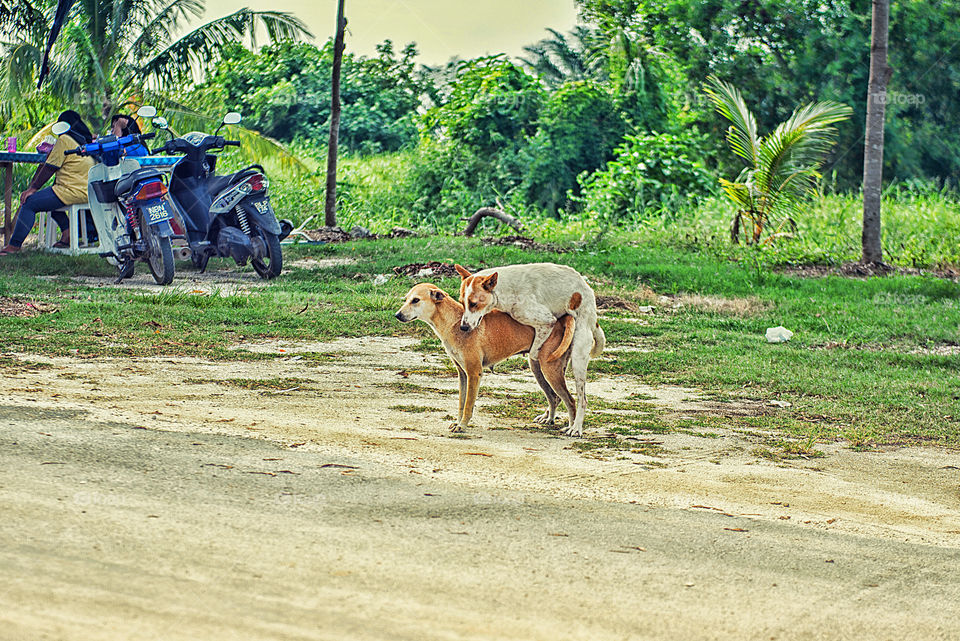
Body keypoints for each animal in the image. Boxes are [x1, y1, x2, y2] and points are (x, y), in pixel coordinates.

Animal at [394, 282, 572, 432]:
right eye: (406, 299)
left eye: (416, 300)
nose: (397, 315)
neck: (454, 322)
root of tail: (560, 320)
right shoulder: (463, 375)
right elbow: (462, 403)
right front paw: (458, 422)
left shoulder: (474, 373)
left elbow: (468, 405)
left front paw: (462, 426)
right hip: (538, 368)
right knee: (554, 398)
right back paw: (549, 419)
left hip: (549, 371)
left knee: (569, 400)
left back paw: (572, 429)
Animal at [456, 260, 604, 436]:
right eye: (462, 303)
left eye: (474, 304)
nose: (463, 327)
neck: (505, 289)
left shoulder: (547, 321)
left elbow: (535, 349)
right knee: (556, 396)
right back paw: (549, 416)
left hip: (577, 358)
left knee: (582, 399)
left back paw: (576, 427)